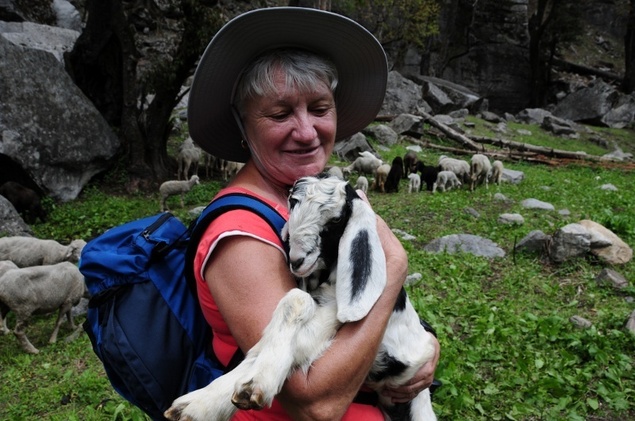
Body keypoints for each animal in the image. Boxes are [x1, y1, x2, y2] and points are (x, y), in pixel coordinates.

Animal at [165, 173, 438, 420]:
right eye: (292, 203)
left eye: (336, 219)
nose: (296, 260)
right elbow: (264, 341)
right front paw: (197, 404)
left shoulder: (337, 315)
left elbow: (298, 316)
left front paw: (255, 385)